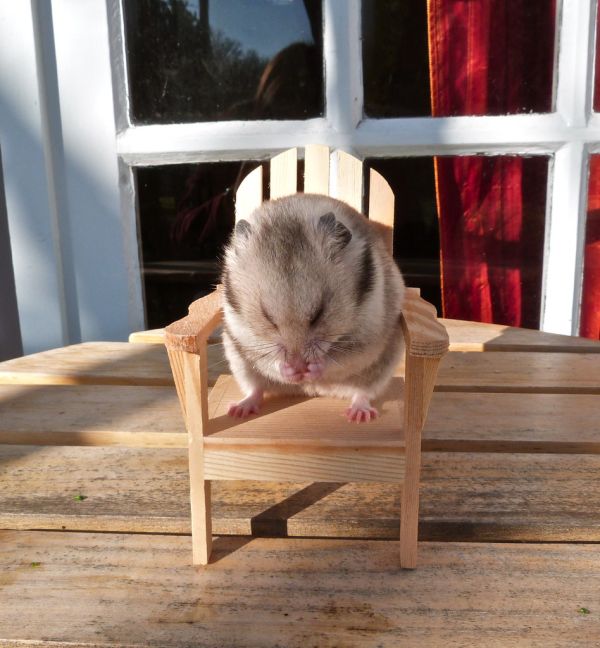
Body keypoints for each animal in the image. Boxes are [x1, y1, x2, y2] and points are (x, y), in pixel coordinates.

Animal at [221, 193, 406, 423]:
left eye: (319, 313)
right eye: (267, 317)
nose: (299, 367)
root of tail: (314, 390)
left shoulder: (365, 337)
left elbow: (341, 358)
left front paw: (313, 367)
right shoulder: (245, 337)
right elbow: (268, 359)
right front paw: (290, 370)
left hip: (382, 364)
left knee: (363, 392)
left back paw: (359, 414)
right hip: (239, 362)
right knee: (256, 388)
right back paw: (239, 409)